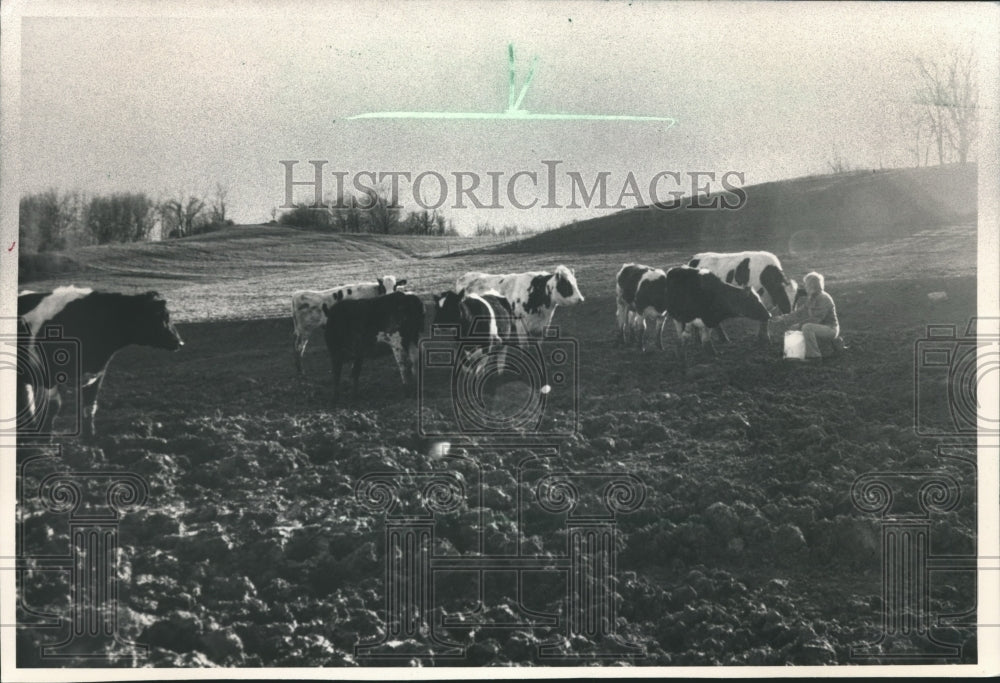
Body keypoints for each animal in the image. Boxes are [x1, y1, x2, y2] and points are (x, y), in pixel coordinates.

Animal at [17, 288, 186, 438]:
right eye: (159, 315)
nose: (180, 343)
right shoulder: (49, 375)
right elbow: (53, 407)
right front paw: (45, 442)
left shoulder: (97, 373)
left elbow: (90, 407)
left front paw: (89, 438)